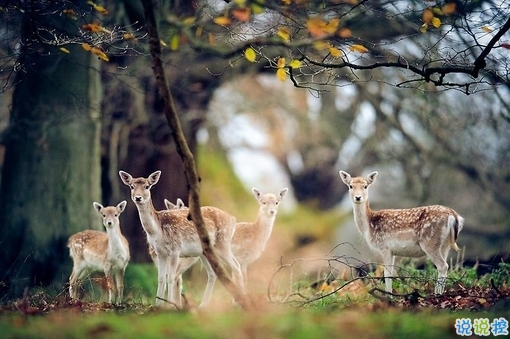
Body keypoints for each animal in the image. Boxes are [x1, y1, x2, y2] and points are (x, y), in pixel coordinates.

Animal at [120, 170, 246, 308]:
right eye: (131, 186)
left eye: (147, 186)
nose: (138, 197)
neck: (157, 230)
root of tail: (233, 219)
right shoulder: (160, 253)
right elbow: (161, 278)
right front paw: (157, 305)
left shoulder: (175, 249)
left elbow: (171, 277)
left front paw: (170, 305)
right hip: (204, 252)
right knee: (213, 273)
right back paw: (203, 306)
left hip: (222, 243)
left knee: (236, 266)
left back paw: (239, 302)